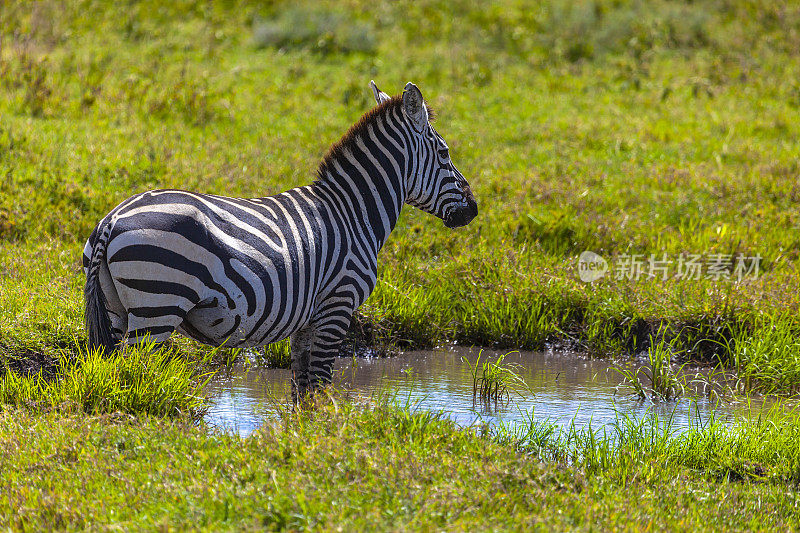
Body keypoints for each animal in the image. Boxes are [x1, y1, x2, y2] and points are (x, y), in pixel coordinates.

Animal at [83, 81, 476, 396]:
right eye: (444, 153)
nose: (473, 209)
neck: (353, 213)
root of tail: (111, 219)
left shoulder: (308, 318)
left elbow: (301, 387)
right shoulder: (338, 304)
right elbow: (320, 384)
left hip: (115, 308)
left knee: (115, 369)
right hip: (157, 305)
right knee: (137, 370)